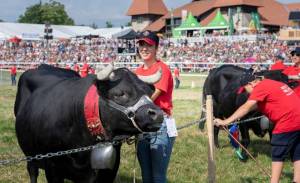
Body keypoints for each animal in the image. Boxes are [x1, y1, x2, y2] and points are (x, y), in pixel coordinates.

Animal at [14, 63, 164, 182]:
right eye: (120, 93)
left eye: (149, 92)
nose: (157, 114)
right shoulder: (52, 169)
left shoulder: (109, 172)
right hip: (30, 155)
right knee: (33, 172)